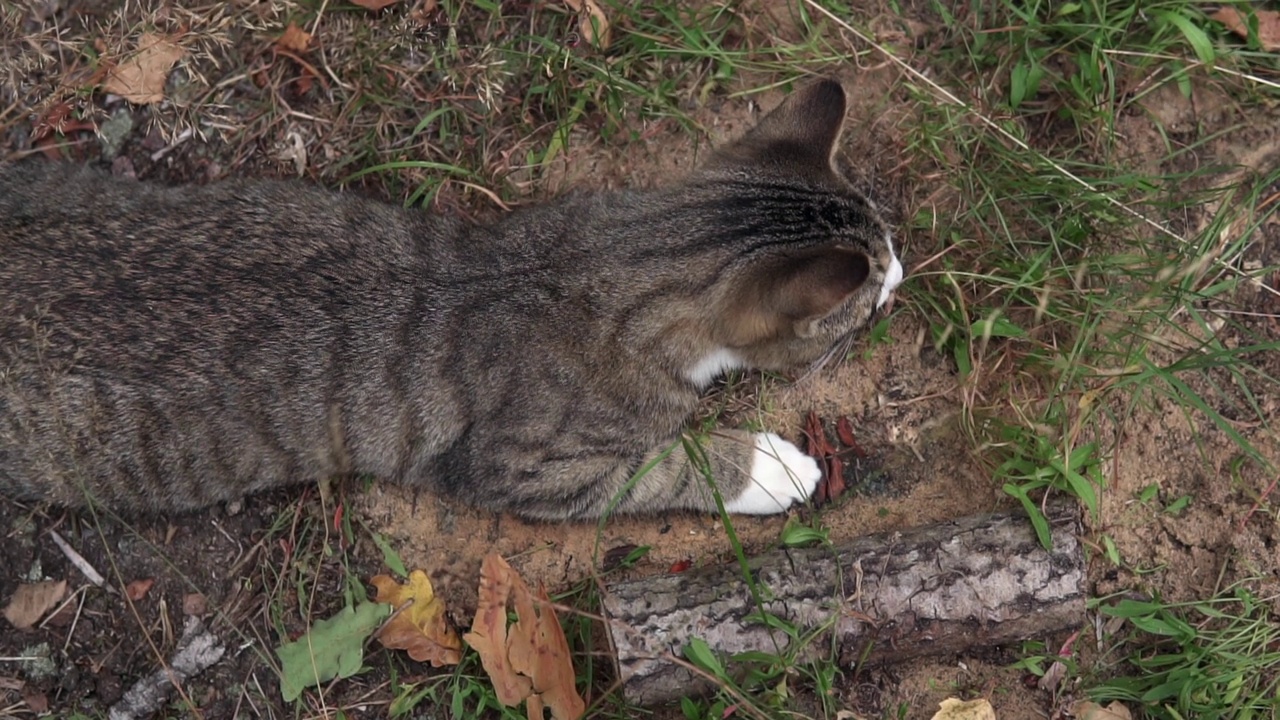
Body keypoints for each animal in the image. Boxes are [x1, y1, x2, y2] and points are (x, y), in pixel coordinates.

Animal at [0, 78, 901, 517]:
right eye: (867, 287)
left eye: (888, 237)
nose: (898, 275)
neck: (621, 254)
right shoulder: (516, 468)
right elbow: (665, 470)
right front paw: (771, 467)